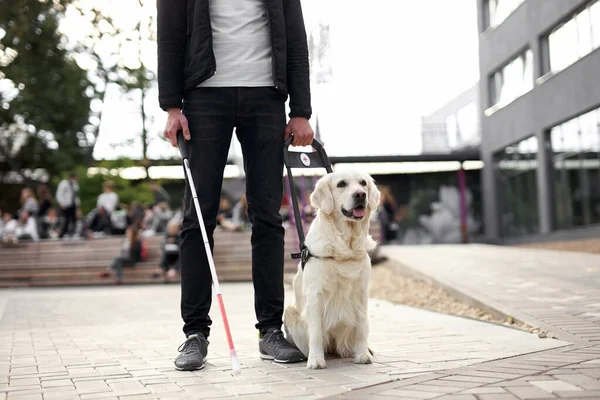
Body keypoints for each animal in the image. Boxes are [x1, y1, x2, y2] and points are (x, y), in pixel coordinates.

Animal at [282, 169, 380, 368]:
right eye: (341, 184)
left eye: (363, 183)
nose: (360, 195)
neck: (345, 246)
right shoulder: (315, 294)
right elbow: (316, 333)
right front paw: (316, 359)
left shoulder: (361, 293)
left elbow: (361, 328)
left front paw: (362, 354)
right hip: (290, 313)